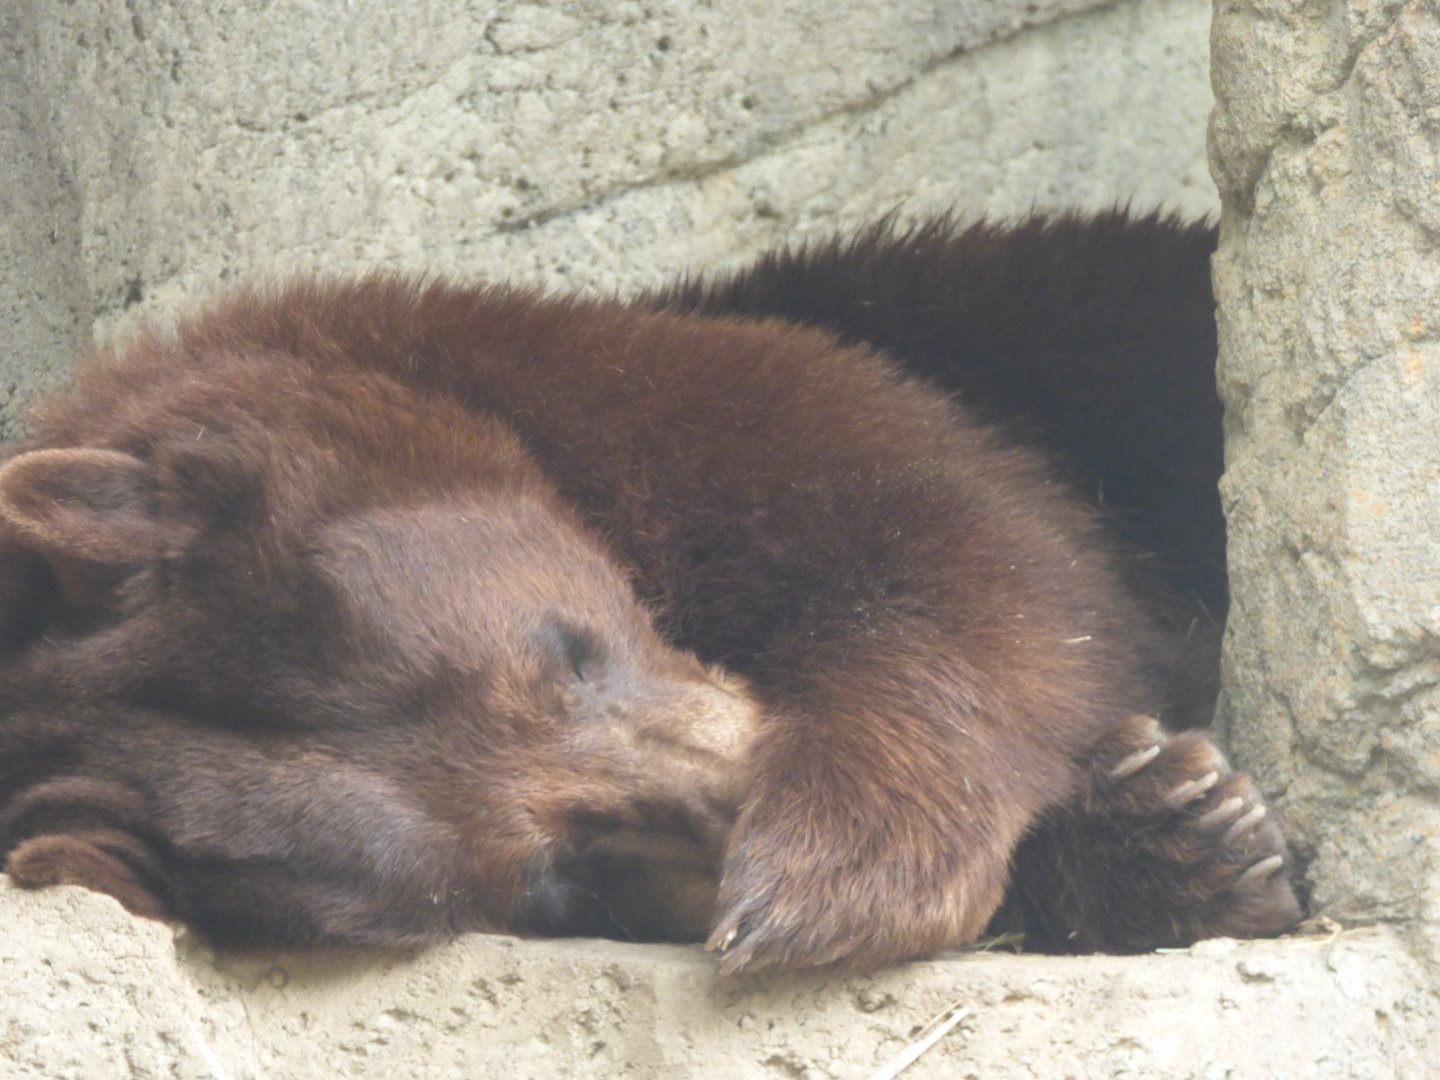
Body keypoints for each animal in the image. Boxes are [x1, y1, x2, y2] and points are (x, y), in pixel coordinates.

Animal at [0, 211, 1300, 973]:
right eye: (555, 873)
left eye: (564, 649)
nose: (732, 807)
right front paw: (1180, 831)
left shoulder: (646, 390)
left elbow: (957, 537)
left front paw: (827, 875)